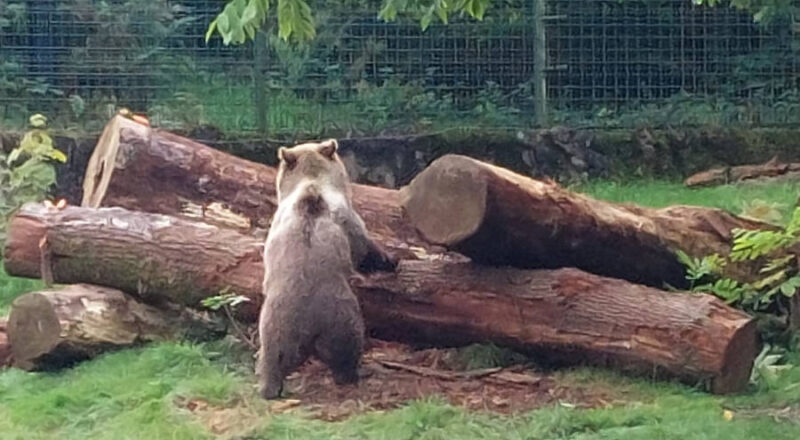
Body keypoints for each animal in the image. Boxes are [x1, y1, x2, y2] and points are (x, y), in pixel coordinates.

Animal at [260, 139, 396, 400]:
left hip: (276, 322)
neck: (312, 183)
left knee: (273, 356)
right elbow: (363, 249)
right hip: (340, 316)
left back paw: (267, 386)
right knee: (348, 347)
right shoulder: (346, 218)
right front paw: (390, 260)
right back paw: (354, 374)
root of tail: (307, 326)